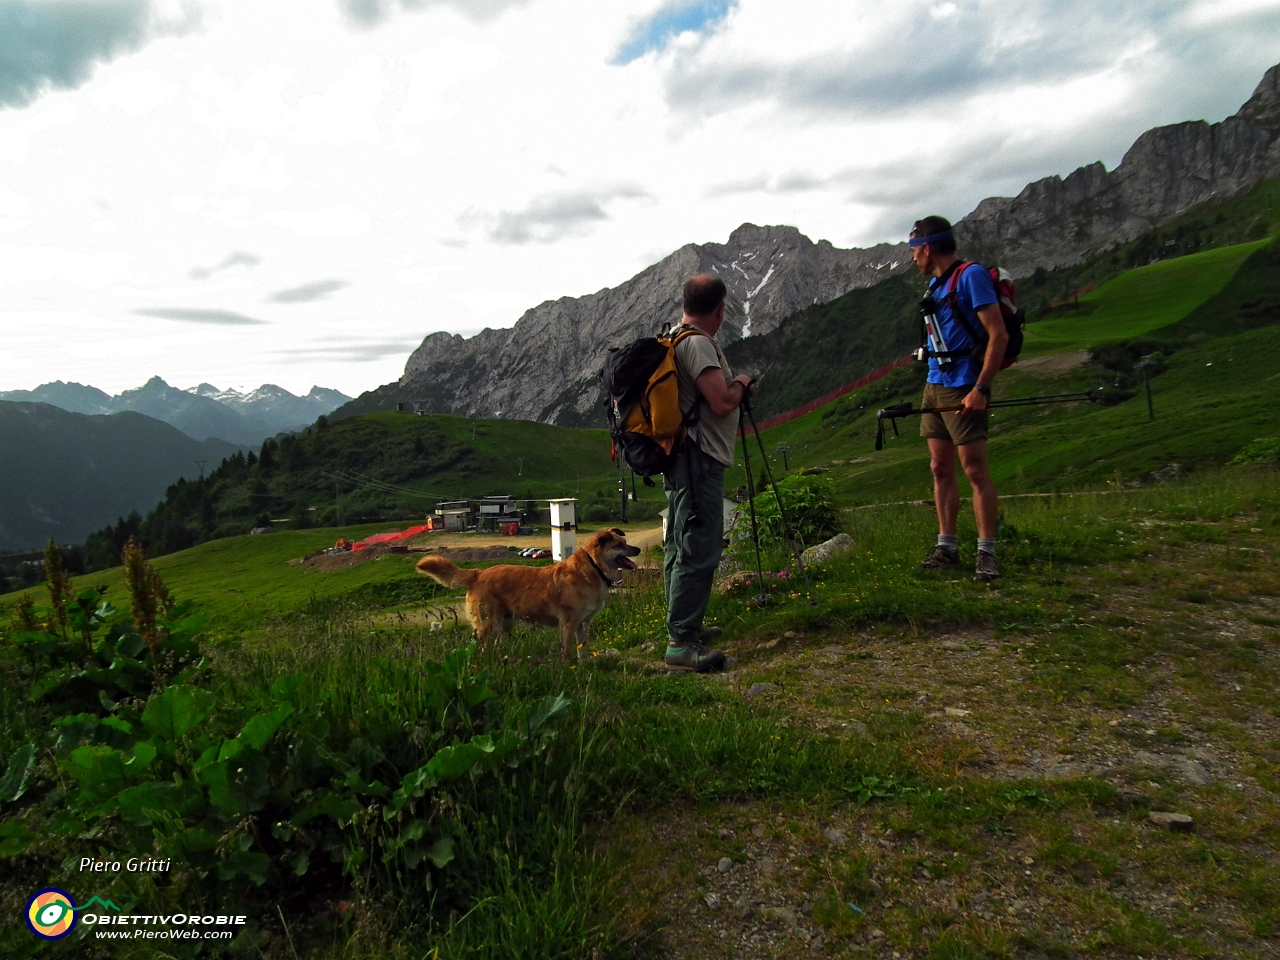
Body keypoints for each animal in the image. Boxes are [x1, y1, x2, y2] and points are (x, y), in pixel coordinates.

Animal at [417, 529, 640, 660]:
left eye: (624, 541)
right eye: (619, 545)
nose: (637, 549)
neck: (593, 568)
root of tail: (477, 574)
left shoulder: (582, 624)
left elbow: (582, 649)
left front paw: (584, 667)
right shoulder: (568, 624)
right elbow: (567, 652)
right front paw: (570, 671)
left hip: (504, 625)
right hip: (489, 626)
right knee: (483, 651)